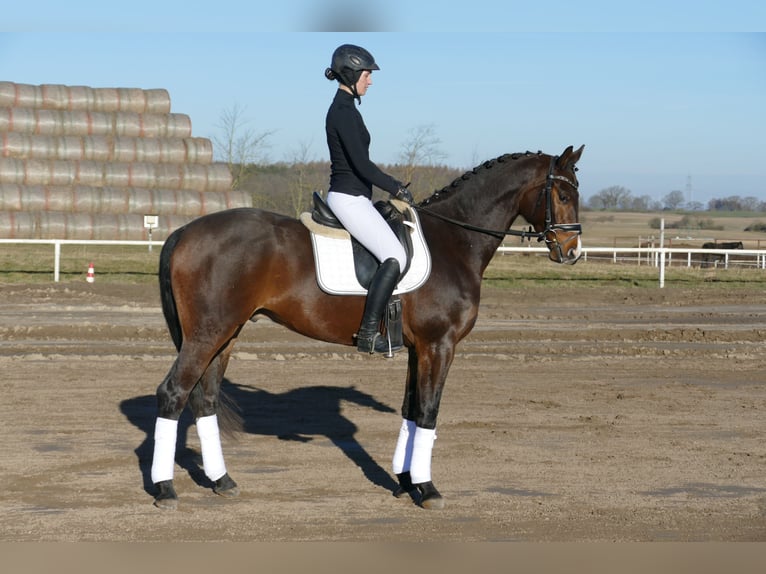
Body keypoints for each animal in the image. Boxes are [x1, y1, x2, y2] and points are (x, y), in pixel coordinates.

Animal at [150, 144, 585, 510]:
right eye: (564, 196)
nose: (572, 253)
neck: (455, 240)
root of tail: (185, 231)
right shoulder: (439, 345)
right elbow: (429, 412)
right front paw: (428, 490)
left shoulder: (418, 348)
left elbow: (411, 409)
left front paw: (405, 482)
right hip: (206, 335)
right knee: (173, 394)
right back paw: (165, 490)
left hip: (226, 335)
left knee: (204, 399)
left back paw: (222, 481)